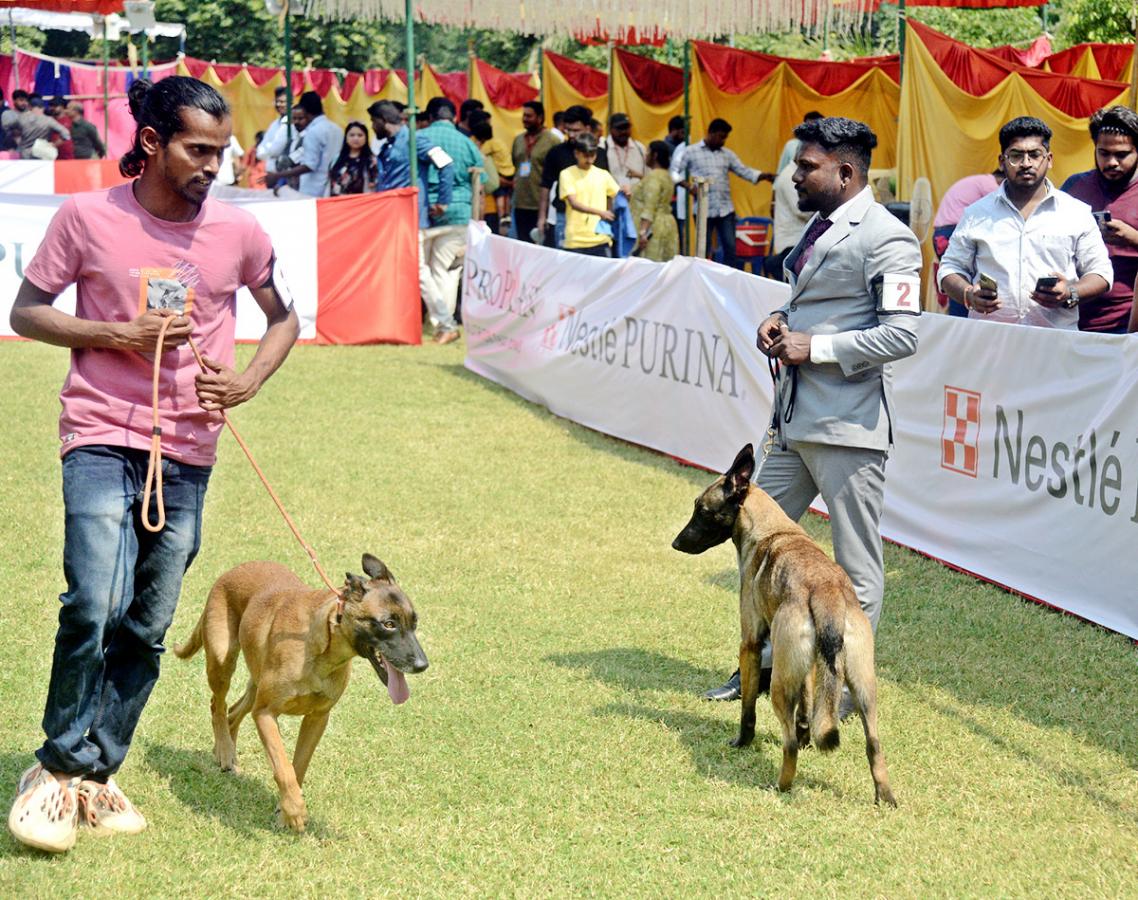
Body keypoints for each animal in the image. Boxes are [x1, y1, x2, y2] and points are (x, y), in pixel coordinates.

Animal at [172, 552, 427, 832]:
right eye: (388, 624)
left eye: (414, 623)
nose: (422, 665)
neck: (323, 648)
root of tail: (230, 572)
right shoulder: (265, 714)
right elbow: (283, 767)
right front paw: (294, 811)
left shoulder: (317, 719)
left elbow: (299, 766)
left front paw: (284, 810)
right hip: (222, 660)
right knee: (217, 705)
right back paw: (225, 751)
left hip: (255, 683)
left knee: (232, 712)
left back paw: (226, 749)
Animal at [669, 446, 892, 805]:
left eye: (702, 510)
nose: (676, 543)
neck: (773, 529)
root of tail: (827, 591)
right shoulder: (808, 667)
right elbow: (807, 707)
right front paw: (806, 734)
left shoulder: (750, 643)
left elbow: (747, 708)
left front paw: (742, 742)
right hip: (862, 686)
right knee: (874, 745)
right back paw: (885, 798)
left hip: (779, 685)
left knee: (787, 745)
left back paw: (781, 786)